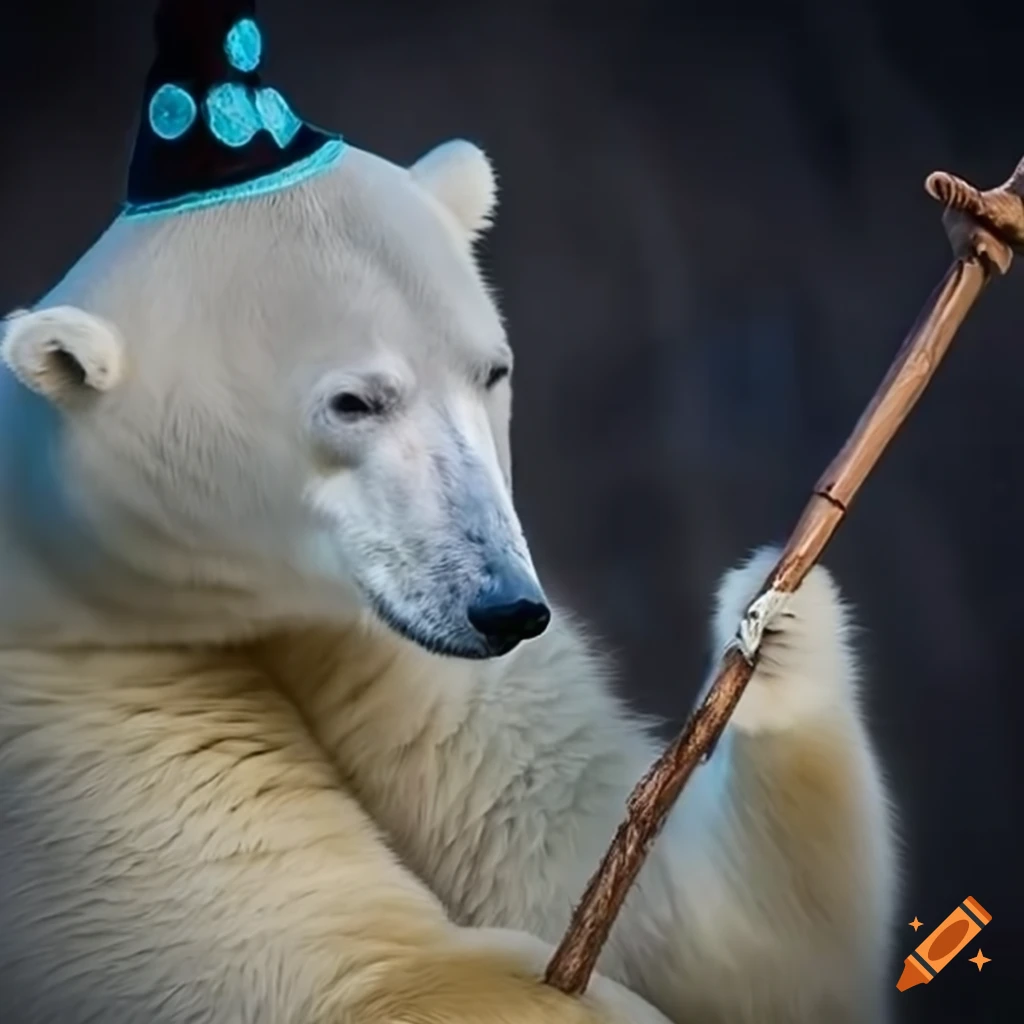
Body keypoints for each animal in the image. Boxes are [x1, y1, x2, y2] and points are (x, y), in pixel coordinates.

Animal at [0, 137, 896, 1024]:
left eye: (491, 370)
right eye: (354, 402)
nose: (506, 609)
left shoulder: (395, 648)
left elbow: (663, 917)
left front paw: (773, 625)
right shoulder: (79, 718)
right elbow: (351, 971)